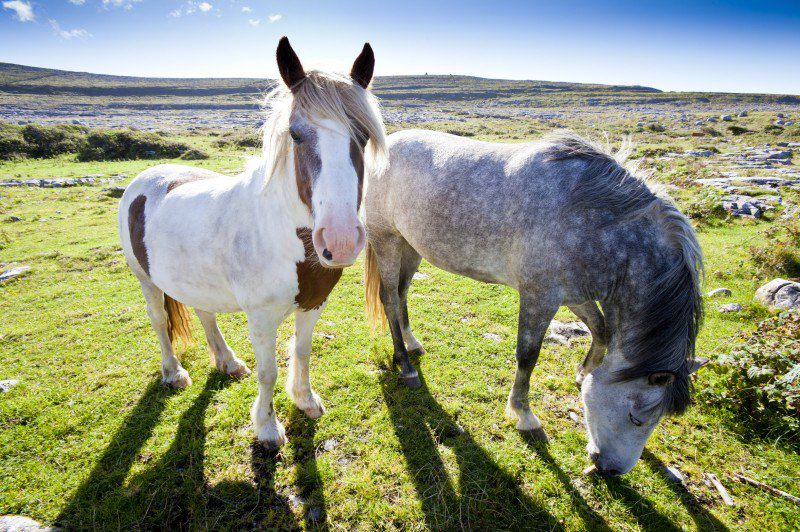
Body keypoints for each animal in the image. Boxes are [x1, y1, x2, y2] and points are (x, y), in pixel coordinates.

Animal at [118, 35, 388, 446]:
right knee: (160, 320)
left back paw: (228, 362)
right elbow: (268, 372)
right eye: (296, 134)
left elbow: (303, 352)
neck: (286, 239)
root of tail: (148, 177)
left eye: (364, 136)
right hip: (144, 279)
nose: (340, 240)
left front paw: (305, 400)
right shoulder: (261, 317)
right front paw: (267, 427)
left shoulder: (314, 303)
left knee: (205, 313)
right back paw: (174, 372)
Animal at [362, 129, 708, 474]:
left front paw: (583, 373)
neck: (596, 224)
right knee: (389, 298)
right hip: (386, 240)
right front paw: (524, 415)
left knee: (402, 293)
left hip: (410, 245)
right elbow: (528, 356)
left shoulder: (573, 295)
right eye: (637, 418)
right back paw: (406, 366)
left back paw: (412, 343)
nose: (610, 470)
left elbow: (601, 330)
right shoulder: (539, 297)